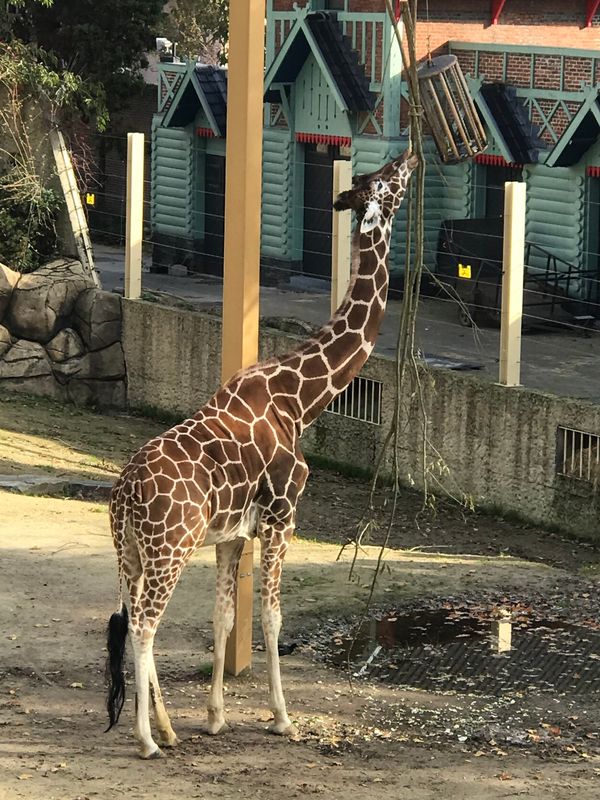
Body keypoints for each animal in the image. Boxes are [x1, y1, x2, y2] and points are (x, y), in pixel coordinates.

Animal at [105, 148, 418, 756]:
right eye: (387, 180)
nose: (412, 153)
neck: (300, 398)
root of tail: (123, 495)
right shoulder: (281, 516)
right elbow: (272, 618)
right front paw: (282, 716)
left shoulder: (231, 535)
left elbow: (225, 619)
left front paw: (215, 717)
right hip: (169, 548)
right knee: (145, 624)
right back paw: (148, 739)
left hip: (128, 550)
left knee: (132, 620)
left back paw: (169, 729)